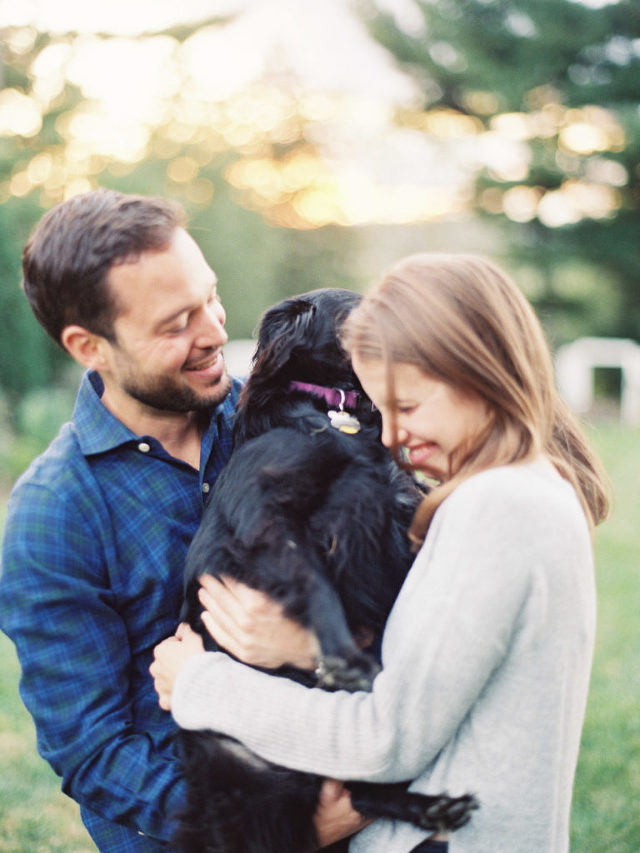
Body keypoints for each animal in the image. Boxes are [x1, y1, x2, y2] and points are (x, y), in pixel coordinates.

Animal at [174, 288, 476, 852]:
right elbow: (314, 583)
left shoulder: (400, 497)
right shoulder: (267, 520)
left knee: (364, 791)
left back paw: (431, 807)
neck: (335, 418)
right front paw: (344, 656)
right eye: (359, 309)